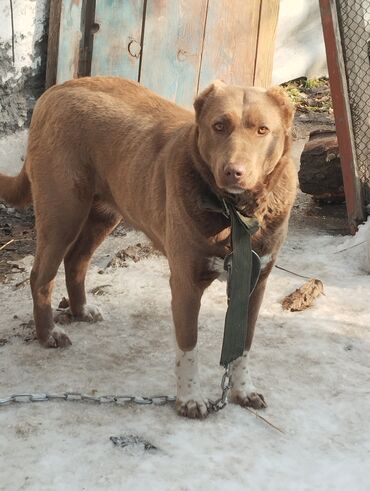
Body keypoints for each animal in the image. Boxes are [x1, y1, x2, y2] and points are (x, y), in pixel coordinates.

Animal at [0, 77, 296, 418]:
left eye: (262, 130)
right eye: (219, 126)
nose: (234, 171)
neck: (236, 213)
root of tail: (56, 90)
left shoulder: (254, 284)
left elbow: (242, 345)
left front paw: (243, 390)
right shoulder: (185, 283)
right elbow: (189, 347)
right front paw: (190, 398)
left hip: (104, 214)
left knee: (76, 261)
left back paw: (81, 309)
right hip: (63, 213)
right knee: (41, 276)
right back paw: (48, 334)